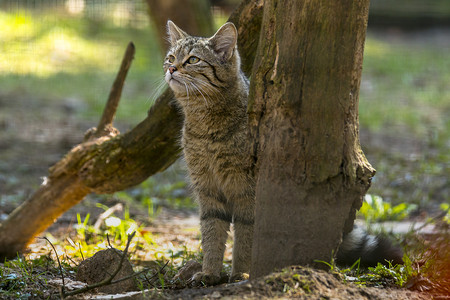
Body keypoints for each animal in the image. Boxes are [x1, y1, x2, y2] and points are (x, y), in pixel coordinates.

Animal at [163, 20, 402, 284]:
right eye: (171, 57)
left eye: (193, 60)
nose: (171, 68)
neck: (206, 126)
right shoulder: (208, 189)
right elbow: (212, 234)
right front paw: (210, 273)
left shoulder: (248, 192)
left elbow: (245, 237)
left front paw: (241, 273)